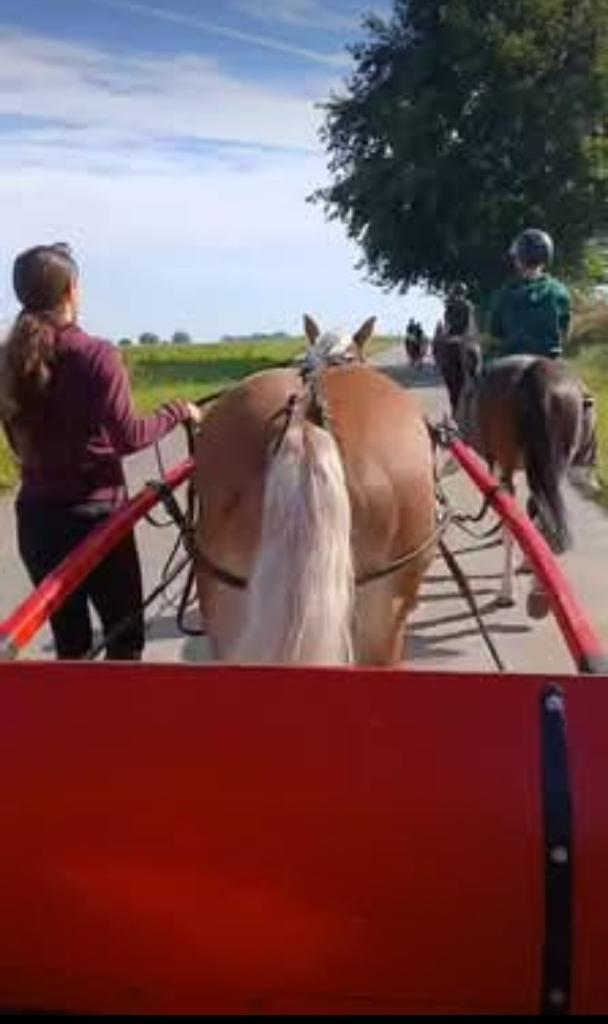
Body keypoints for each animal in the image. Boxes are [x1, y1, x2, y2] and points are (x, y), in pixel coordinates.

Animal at [456, 354, 596, 615]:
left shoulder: (495, 464)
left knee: (516, 518)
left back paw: (508, 591)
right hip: (553, 467)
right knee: (542, 517)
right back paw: (540, 590)